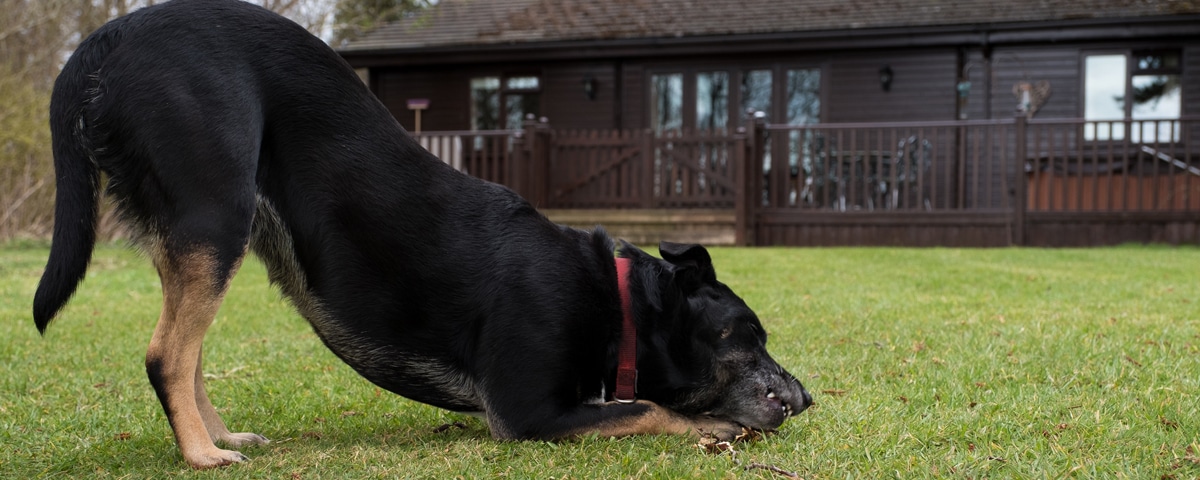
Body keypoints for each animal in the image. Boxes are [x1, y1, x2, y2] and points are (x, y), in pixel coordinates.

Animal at [30, 0, 816, 468]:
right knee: (166, 353)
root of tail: (107, 38)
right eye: (745, 335)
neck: (617, 303)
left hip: (199, 232)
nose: (805, 398)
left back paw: (220, 435)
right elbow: (650, 408)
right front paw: (713, 429)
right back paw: (203, 455)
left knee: (187, 353)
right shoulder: (529, 412)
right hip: (214, 216)